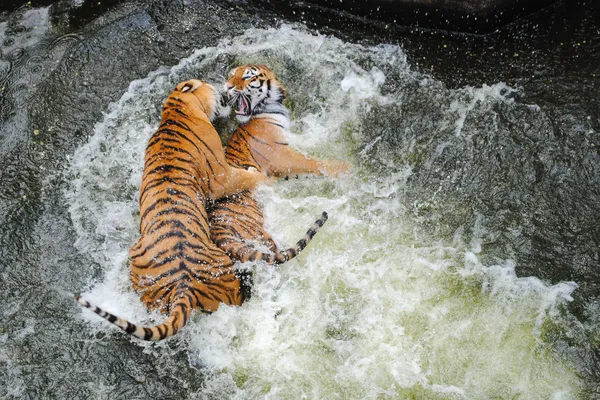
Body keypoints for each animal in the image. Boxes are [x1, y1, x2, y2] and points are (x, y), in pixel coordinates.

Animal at [76, 79, 274, 340]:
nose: (223, 88)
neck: (174, 112)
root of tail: (183, 286)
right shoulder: (221, 176)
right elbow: (246, 177)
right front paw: (260, 174)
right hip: (225, 275)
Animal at [209, 64, 350, 266]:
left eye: (246, 77)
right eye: (232, 75)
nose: (227, 86)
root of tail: (217, 230)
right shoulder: (281, 157)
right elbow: (312, 162)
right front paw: (346, 168)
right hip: (261, 234)